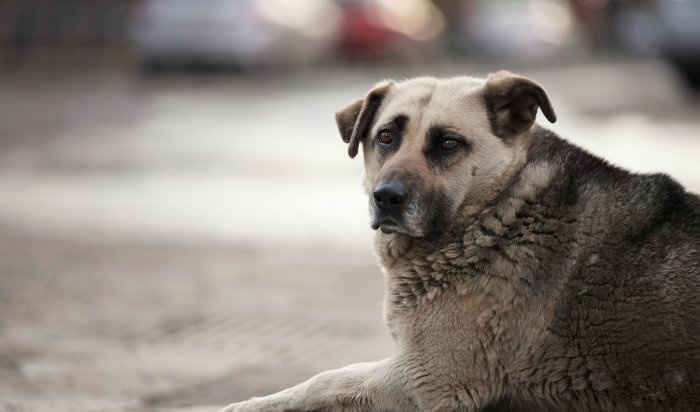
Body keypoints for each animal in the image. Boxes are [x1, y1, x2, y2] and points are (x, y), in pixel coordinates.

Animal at [223, 71, 700, 412]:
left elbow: (323, 382)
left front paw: (245, 405)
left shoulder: (430, 378)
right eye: (385, 136)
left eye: (448, 143)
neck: (496, 211)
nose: (386, 197)